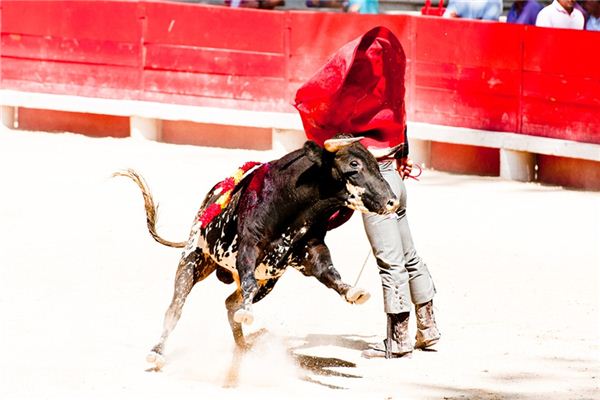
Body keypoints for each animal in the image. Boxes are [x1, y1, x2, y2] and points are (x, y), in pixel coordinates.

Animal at [115, 135, 400, 368]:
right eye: (354, 164)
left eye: (376, 165)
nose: (392, 202)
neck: (293, 203)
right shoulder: (248, 247)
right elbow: (248, 282)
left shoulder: (311, 250)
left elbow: (329, 271)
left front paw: (353, 292)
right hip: (193, 258)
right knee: (175, 309)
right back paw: (157, 353)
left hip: (268, 282)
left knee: (231, 304)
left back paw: (244, 347)